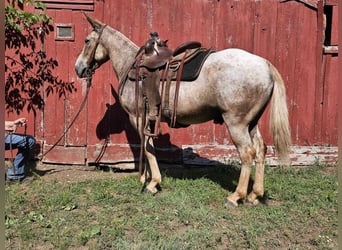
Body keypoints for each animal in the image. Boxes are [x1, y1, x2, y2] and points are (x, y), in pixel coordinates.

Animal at [75, 14, 292, 208]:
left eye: (87, 41)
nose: (79, 68)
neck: (132, 68)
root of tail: (265, 65)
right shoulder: (149, 118)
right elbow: (149, 147)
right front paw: (148, 179)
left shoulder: (137, 117)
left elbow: (147, 148)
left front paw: (152, 184)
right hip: (251, 122)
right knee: (261, 150)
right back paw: (254, 195)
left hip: (237, 124)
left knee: (247, 154)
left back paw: (235, 196)